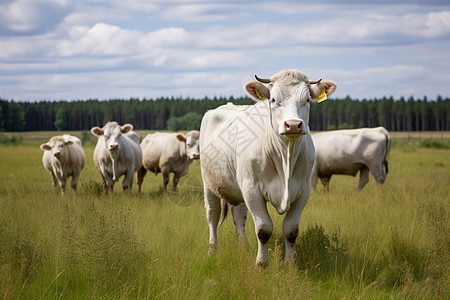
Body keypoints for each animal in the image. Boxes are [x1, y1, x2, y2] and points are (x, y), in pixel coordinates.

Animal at [199, 69, 336, 264]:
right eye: (273, 99)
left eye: (307, 99)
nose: (293, 125)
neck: (286, 157)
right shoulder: (252, 189)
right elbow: (263, 229)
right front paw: (262, 263)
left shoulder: (304, 190)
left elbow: (291, 230)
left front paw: (290, 263)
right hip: (209, 184)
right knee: (212, 215)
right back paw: (212, 251)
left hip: (238, 188)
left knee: (239, 216)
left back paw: (243, 247)